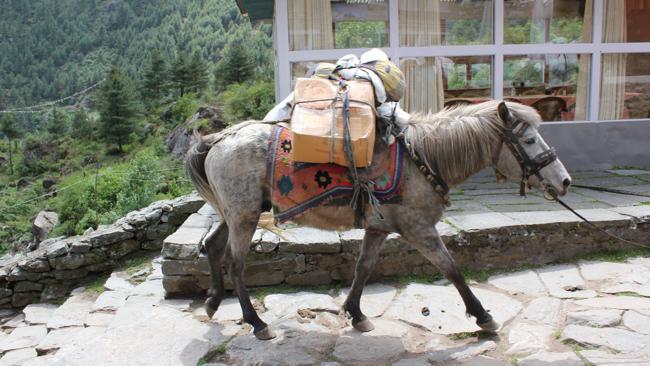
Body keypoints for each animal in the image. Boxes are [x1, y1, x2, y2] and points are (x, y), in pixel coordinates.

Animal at [185, 100, 568, 340]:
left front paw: (356, 314)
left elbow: (363, 268)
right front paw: (483, 316)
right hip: (244, 217)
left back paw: (213, 302)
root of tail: (218, 139)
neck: (422, 158)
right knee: (235, 264)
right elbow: (453, 269)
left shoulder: (378, 228)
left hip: (236, 214)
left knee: (212, 247)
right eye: (529, 139)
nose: (564, 181)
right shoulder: (419, 230)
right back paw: (256, 322)